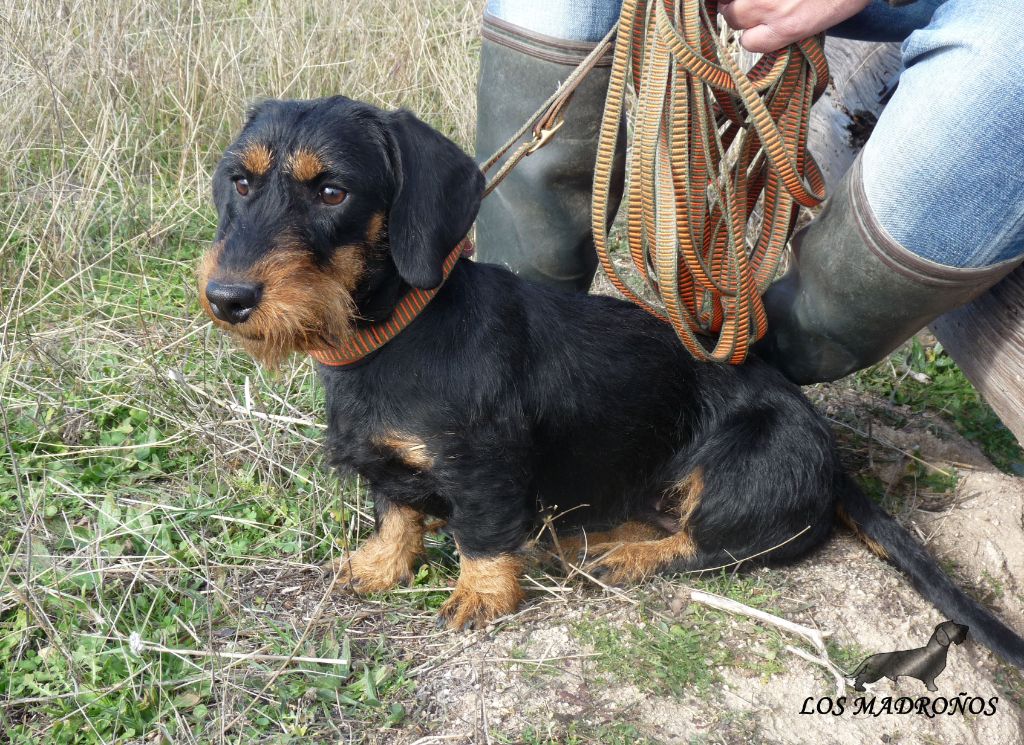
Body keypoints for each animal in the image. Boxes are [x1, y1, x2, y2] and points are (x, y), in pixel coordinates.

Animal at [196, 95, 1024, 669]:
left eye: (332, 191)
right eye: (241, 180)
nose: (227, 298)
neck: (393, 333)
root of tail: (829, 454)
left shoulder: (484, 466)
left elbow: (481, 533)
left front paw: (481, 595)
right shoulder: (390, 465)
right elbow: (396, 513)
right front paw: (376, 565)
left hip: (744, 462)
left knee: (725, 544)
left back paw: (628, 555)